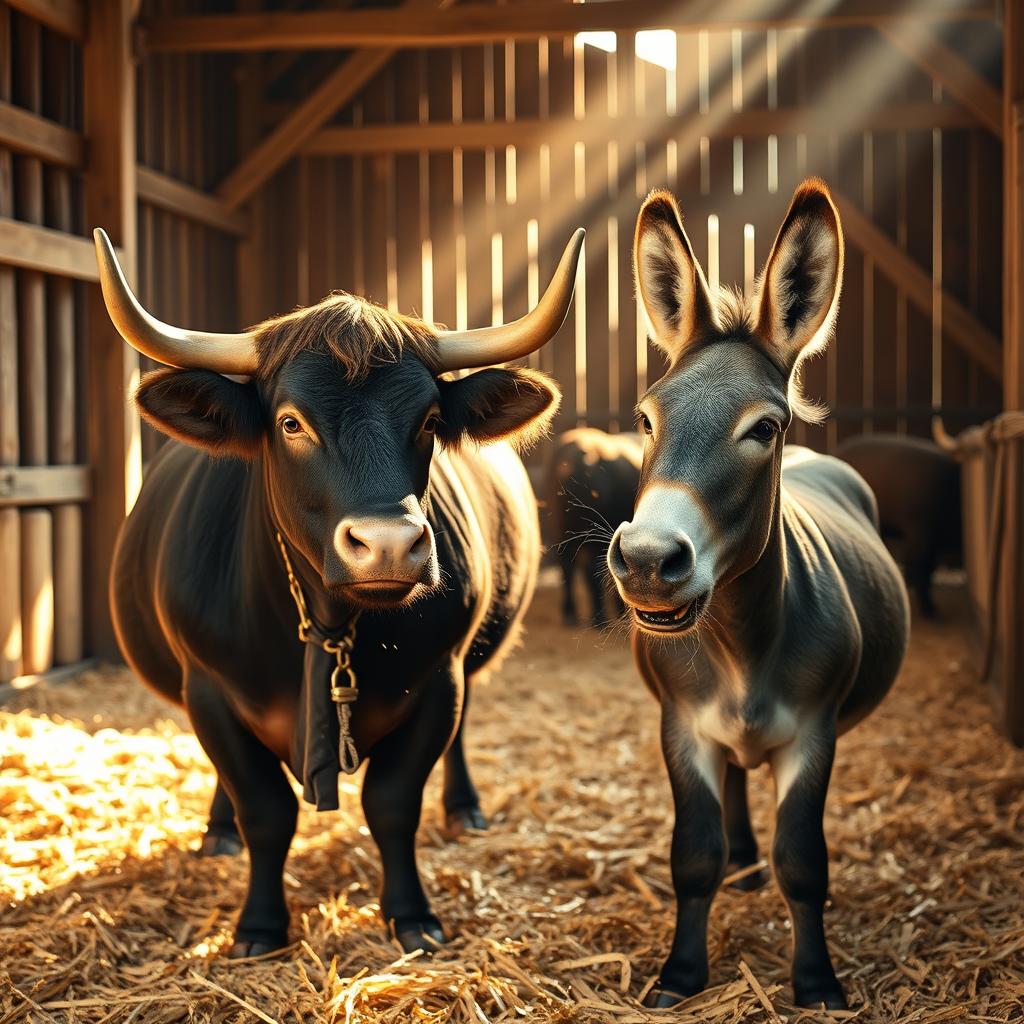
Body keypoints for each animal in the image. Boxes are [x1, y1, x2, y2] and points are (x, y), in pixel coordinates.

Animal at [94, 226, 585, 958]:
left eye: (430, 419)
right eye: (291, 422)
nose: (387, 544)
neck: (331, 624)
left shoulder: (439, 683)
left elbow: (393, 804)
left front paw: (412, 917)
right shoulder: (208, 689)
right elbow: (265, 810)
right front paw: (259, 925)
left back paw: (465, 808)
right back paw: (218, 832)